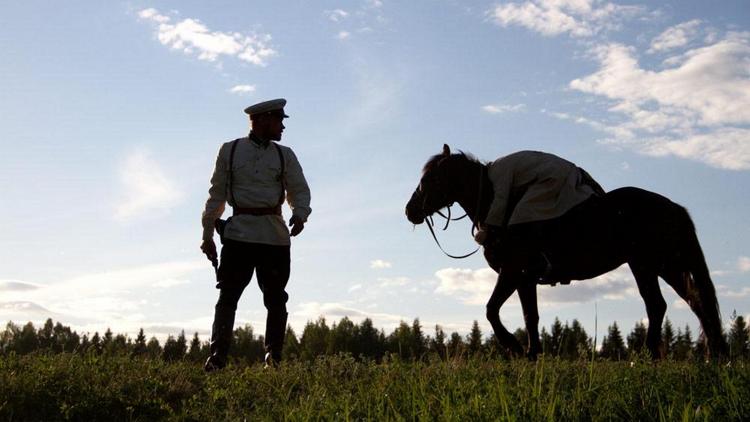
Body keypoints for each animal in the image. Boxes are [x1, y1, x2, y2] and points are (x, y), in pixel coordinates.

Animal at [408, 144, 732, 360]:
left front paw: (514, 347)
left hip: (645, 264)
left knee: (658, 305)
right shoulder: (525, 279)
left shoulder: (512, 272)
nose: (410, 210)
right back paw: (712, 354)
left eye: (432, 179)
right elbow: (530, 316)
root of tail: (675, 208)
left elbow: (492, 310)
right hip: (664, 265)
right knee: (693, 301)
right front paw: (532, 355)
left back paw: (650, 355)